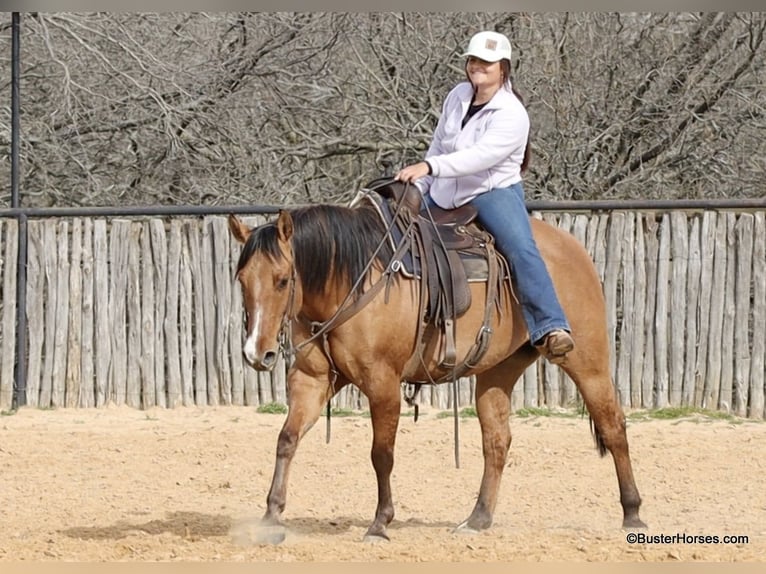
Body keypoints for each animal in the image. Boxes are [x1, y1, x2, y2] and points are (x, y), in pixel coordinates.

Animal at [227, 183, 645, 542]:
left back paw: (633, 514)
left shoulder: (383, 383)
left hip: (587, 361)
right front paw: (270, 517)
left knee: (613, 426)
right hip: (498, 372)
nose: (256, 353)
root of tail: (574, 248)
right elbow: (287, 438)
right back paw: (477, 519)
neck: (351, 278)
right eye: (241, 279)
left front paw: (379, 524)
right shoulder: (312, 380)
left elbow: (382, 454)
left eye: (283, 280)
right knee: (497, 441)